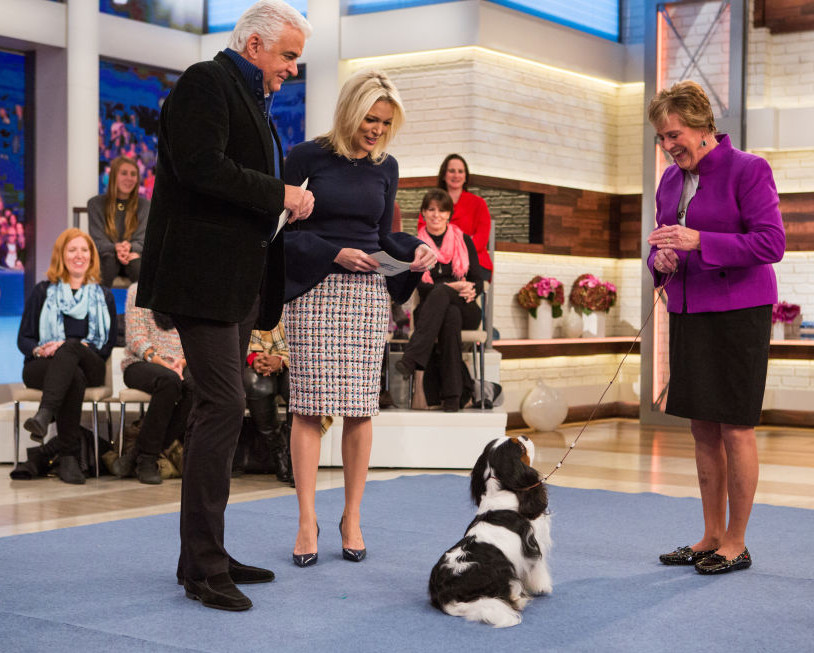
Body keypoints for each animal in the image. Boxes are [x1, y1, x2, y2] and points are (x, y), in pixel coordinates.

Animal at [428, 438, 556, 628]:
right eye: (520, 447)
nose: (525, 436)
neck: (500, 492)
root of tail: (446, 595)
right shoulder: (532, 544)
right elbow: (538, 569)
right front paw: (543, 587)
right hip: (502, 571)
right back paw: (519, 599)